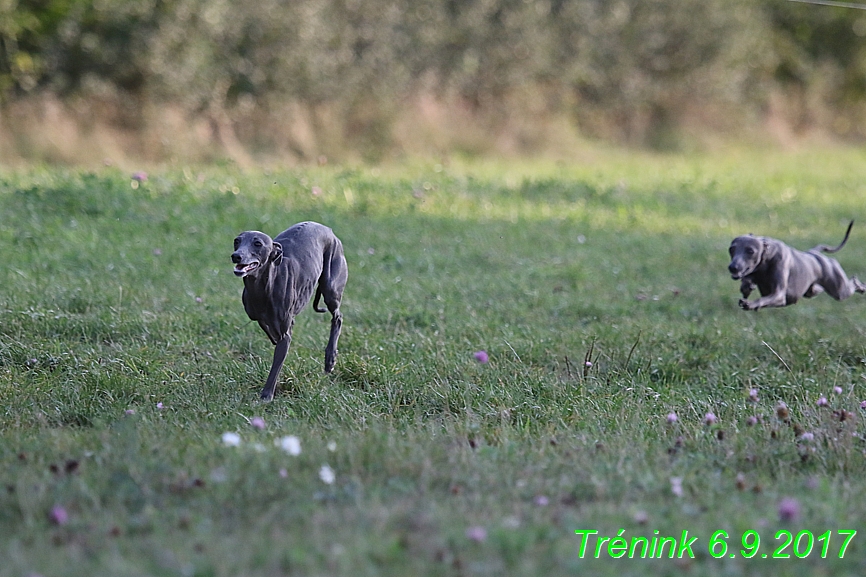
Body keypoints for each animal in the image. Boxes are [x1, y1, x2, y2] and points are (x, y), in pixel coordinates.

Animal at [233, 220, 352, 400]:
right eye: (237, 241)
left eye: (257, 243)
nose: (236, 256)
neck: (264, 287)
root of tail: (328, 230)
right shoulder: (258, 316)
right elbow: (269, 329)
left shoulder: (285, 335)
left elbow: (276, 364)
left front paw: (266, 396)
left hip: (331, 288)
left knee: (337, 317)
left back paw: (330, 359)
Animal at [724, 220, 860, 310]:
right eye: (731, 249)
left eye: (750, 251)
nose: (733, 267)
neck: (768, 257)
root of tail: (813, 252)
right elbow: (747, 282)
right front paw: (747, 286)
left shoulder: (779, 295)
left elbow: (767, 298)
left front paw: (751, 304)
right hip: (811, 291)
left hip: (840, 290)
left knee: (850, 285)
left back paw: (859, 284)